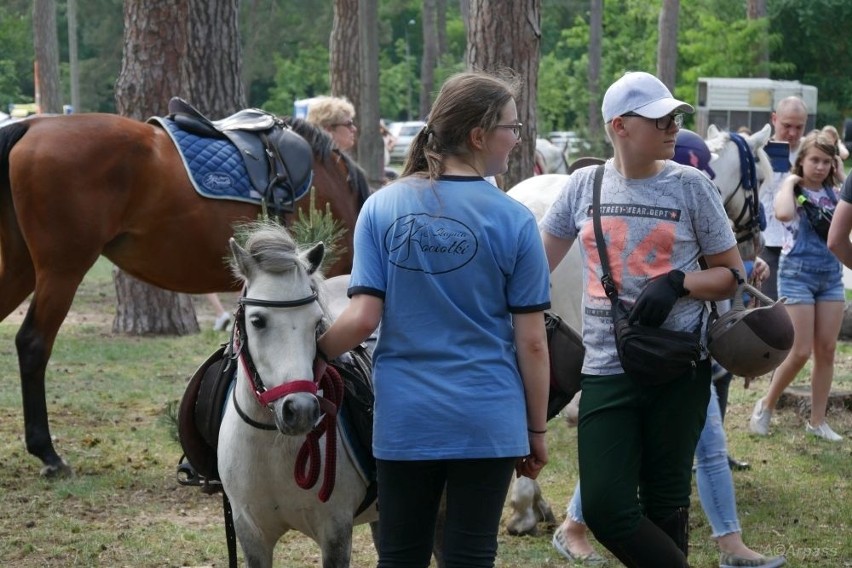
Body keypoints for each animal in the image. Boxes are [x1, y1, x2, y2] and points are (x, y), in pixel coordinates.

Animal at [218, 223, 378, 568]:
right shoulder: (251, 533)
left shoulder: (335, 533)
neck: (272, 444)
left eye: (317, 322)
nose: (301, 410)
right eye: (257, 321)